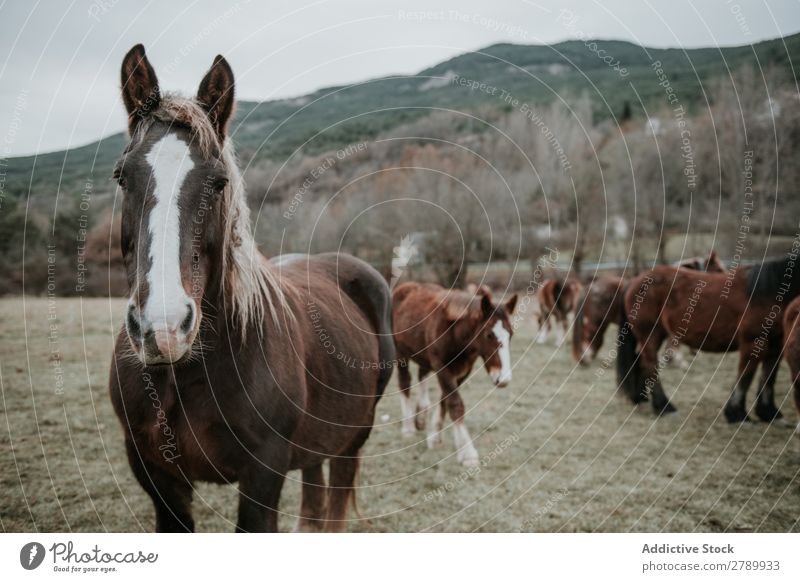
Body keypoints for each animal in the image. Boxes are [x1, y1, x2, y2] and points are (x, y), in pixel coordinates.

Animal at [108, 48, 396, 536]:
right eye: (122, 177)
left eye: (218, 182)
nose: (163, 328)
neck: (186, 372)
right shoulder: (154, 474)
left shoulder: (264, 473)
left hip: (353, 437)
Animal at [390, 280, 516, 468]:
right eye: (488, 335)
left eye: (511, 334)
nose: (503, 379)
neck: (456, 333)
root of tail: (405, 286)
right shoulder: (441, 366)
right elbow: (455, 404)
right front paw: (468, 454)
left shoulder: (464, 369)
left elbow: (445, 399)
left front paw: (435, 436)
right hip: (400, 352)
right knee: (404, 382)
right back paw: (408, 427)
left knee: (422, 375)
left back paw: (421, 415)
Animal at [616, 256, 796, 420]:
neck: (768, 292)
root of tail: (634, 281)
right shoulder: (752, 342)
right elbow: (746, 377)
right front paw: (737, 414)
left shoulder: (776, 345)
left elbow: (769, 376)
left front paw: (769, 412)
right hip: (649, 334)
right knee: (650, 364)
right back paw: (664, 406)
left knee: (640, 361)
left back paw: (641, 399)